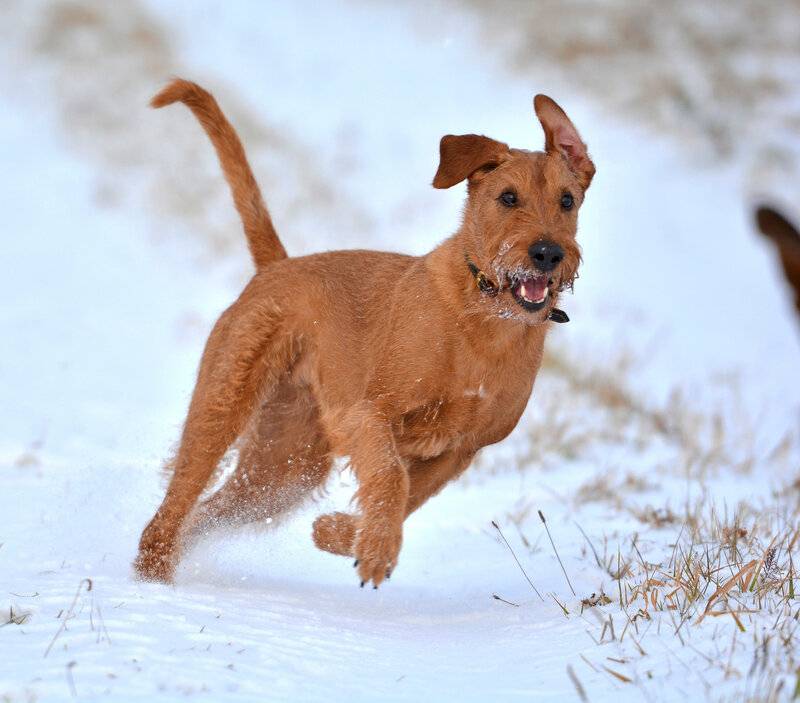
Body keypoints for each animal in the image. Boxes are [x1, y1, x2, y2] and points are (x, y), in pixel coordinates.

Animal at [133, 80, 592, 588]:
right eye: (508, 198)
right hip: (223, 405)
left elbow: (410, 495)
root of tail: (277, 265)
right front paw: (374, 549)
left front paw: (338, 533)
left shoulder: (458, 451)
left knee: (208, 512)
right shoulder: (370, 413)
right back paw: (152, 574)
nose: (548, 253)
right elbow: (392, 478)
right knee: (180, 495)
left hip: (284, 467)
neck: (485, 317)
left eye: (567, 200)